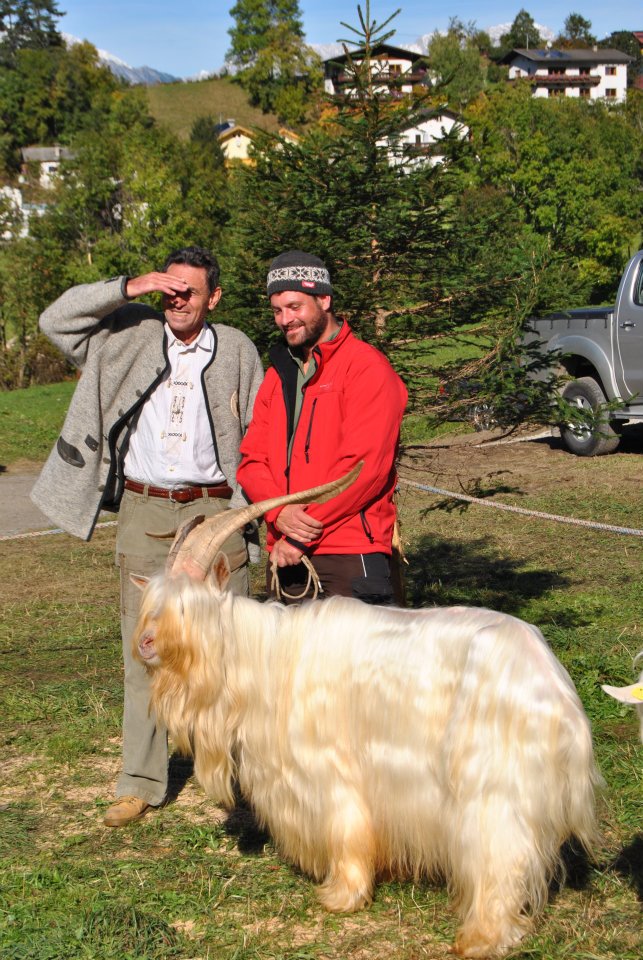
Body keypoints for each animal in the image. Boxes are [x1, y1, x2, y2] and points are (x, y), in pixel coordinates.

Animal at [131, 464, 604, 952]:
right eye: (151, 605)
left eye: (185, 608)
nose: (145, 645)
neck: (262, 655)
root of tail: (555, 687)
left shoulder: (330, 770)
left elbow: (346, 829)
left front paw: (343, 895)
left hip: (492, 785)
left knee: (500, 856)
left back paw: (481, 937)